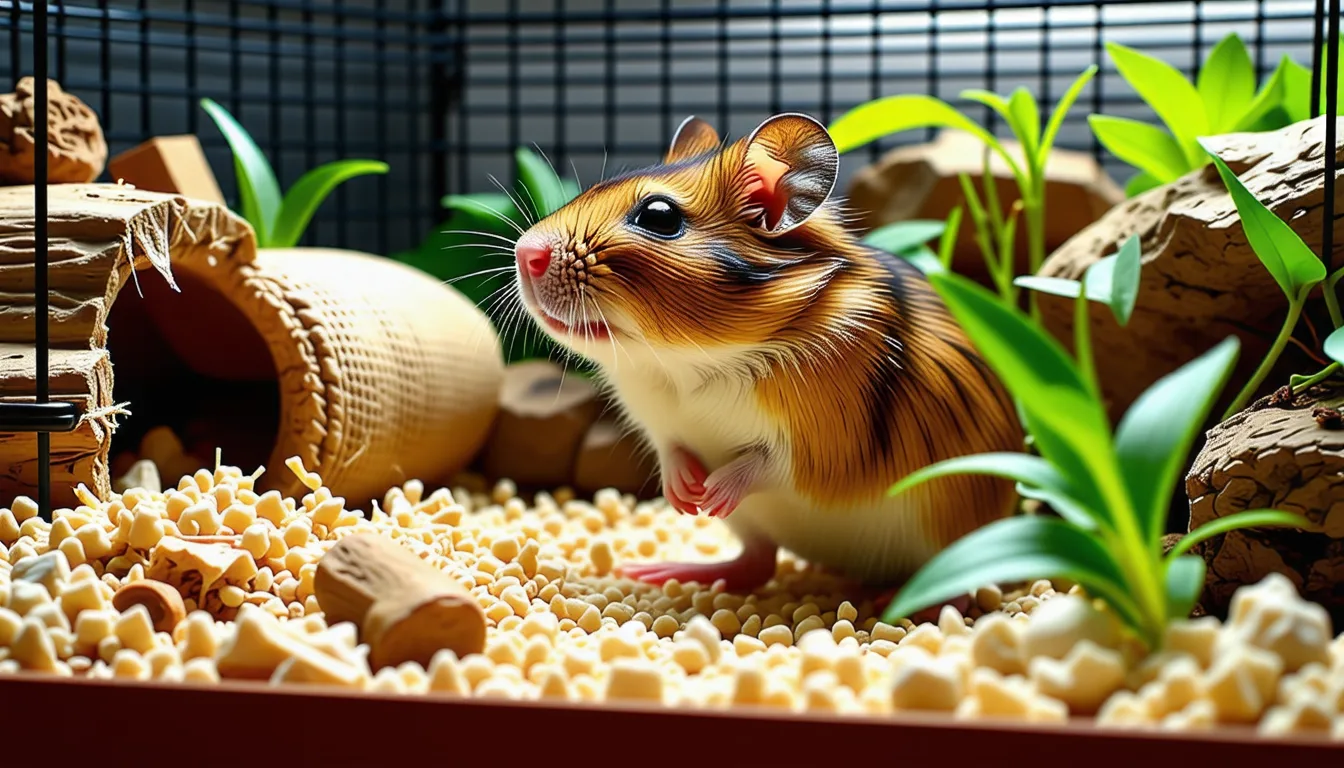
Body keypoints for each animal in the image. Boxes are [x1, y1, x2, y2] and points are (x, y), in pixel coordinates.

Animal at [511, 112, 1024, 594]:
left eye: (659, 216)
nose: (524, 252)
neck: (689, 362)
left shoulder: (820, 439)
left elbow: (765, 463)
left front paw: (711, 495)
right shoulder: (660, 423)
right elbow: (673, 452)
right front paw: (686, 496)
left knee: (960, 581)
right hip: (753, 523)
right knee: (756, 563)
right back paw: (664, 571)